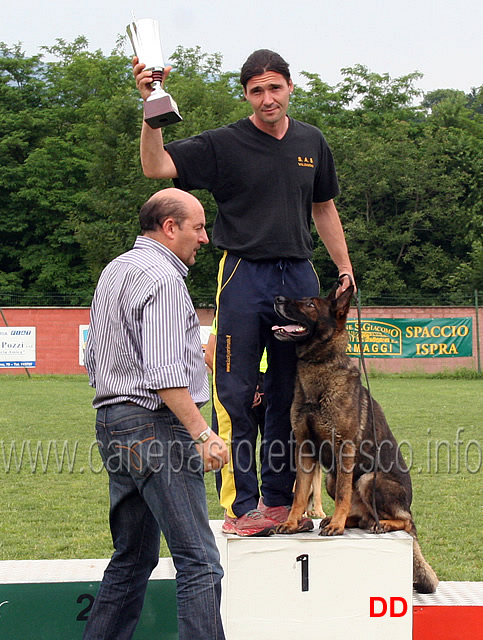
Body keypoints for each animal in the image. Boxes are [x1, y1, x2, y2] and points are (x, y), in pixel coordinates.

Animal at [274, 284, 440, 596]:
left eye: (310, 304)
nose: (277, 298)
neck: (320, 367)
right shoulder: (305, 450)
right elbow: (299, 494)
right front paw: (291, 523)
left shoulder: (344, 449)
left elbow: (342, 495)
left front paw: (337, 526)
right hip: (331, 477)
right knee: (362, 516)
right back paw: (347, 519)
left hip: (368, 479)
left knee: (406, 521)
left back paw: (379, 524)